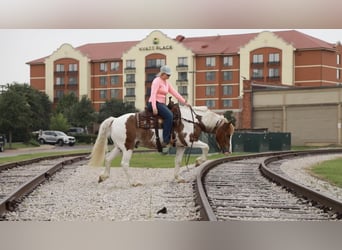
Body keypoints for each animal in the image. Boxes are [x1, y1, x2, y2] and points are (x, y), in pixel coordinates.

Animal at [87, 104, 235, 186]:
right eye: (228, 134)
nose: (229, 151)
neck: (193, 120)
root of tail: (115, 120)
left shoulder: (181, 146)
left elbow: (178, 162)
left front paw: (178, 178)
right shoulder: (190, 140)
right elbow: (206, 147)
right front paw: (199, 161)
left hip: (119, 147)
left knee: (108, 159)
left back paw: (103, 177)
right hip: (128, 147)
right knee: (124, 164)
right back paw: (134, 182)